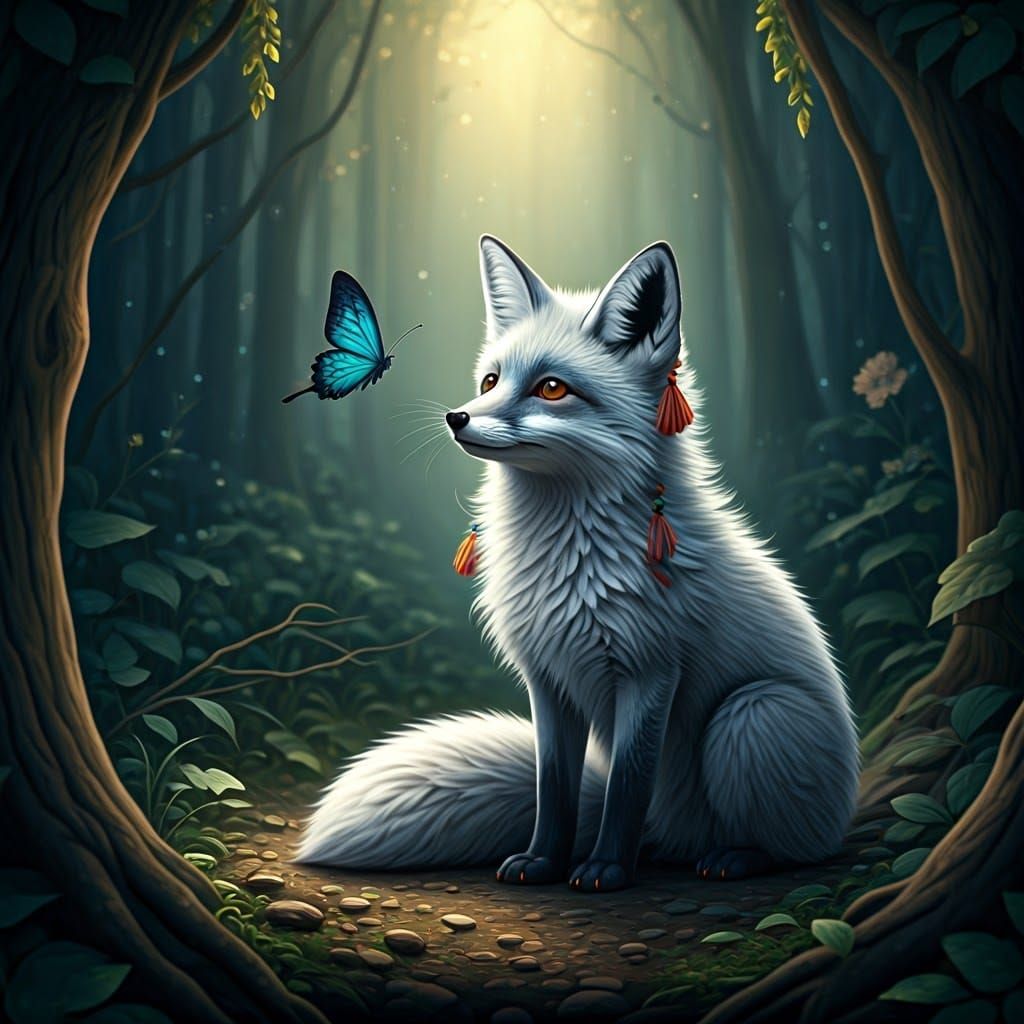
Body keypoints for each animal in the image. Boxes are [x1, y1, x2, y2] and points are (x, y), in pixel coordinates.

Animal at [297, 236, 859, 891]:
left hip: (753, 714)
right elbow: (554, 786)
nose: (456, 417)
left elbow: (626, 786)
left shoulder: (651, 671)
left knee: (795, 848)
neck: (569, 566)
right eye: (491, 379)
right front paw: (542, 861)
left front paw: (606, 869)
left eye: (551, 389)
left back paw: (733, 857)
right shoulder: (547, 677)